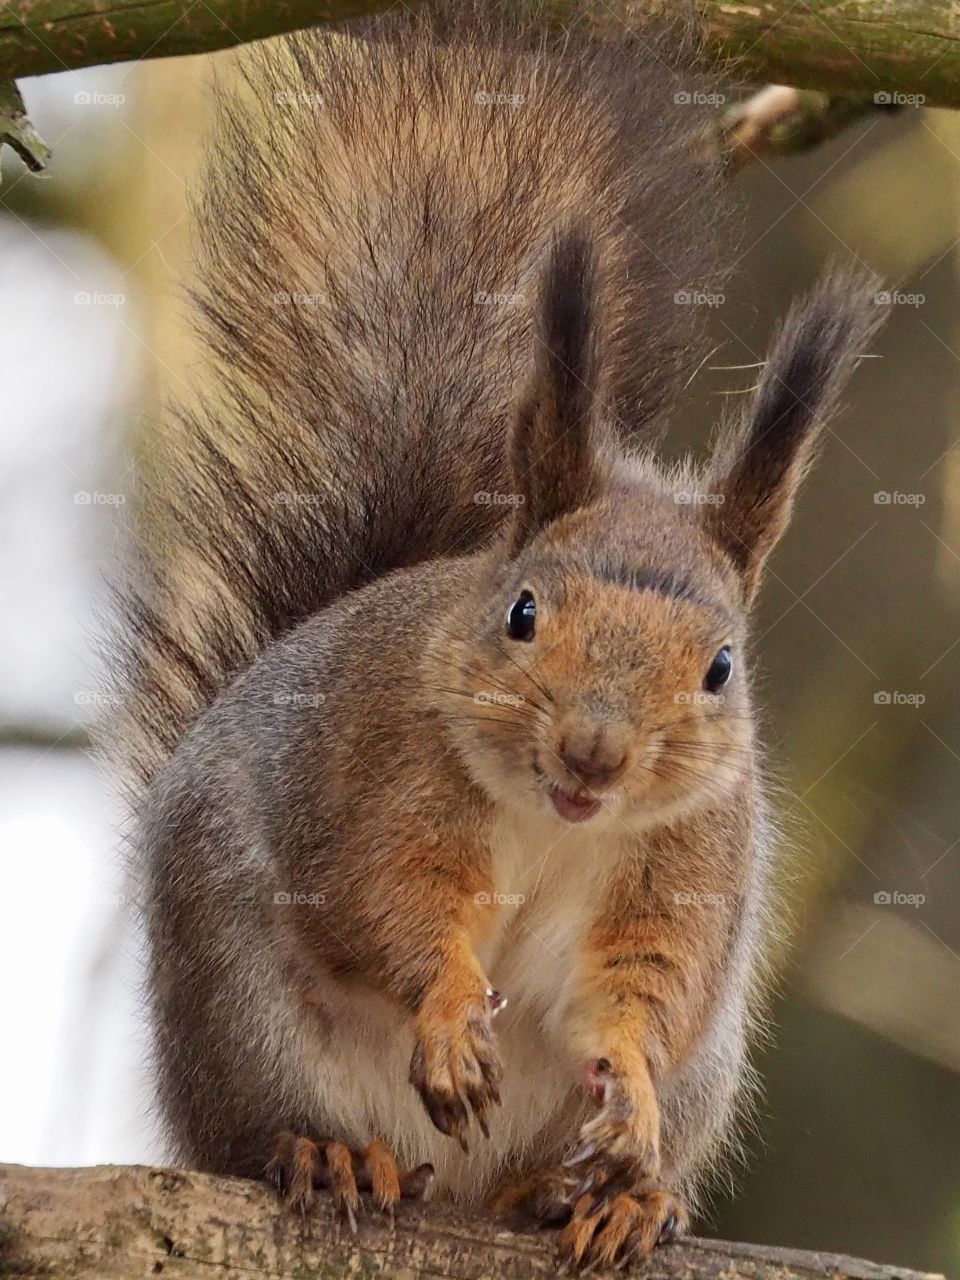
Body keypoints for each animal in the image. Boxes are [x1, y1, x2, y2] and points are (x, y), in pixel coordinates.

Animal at [109, 4, 883, 1270]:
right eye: (523, 614)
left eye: (722, 667)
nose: (594, 752)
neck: (557, 821)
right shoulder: (378, 780)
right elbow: (395, 904)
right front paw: (446, 1010)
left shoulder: (690, 860)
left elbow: (641, 989)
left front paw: (627, 1095)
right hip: (240, 1007)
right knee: (267, 1118)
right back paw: (331, 1152)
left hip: (707, 1071)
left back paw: (593, 1195)